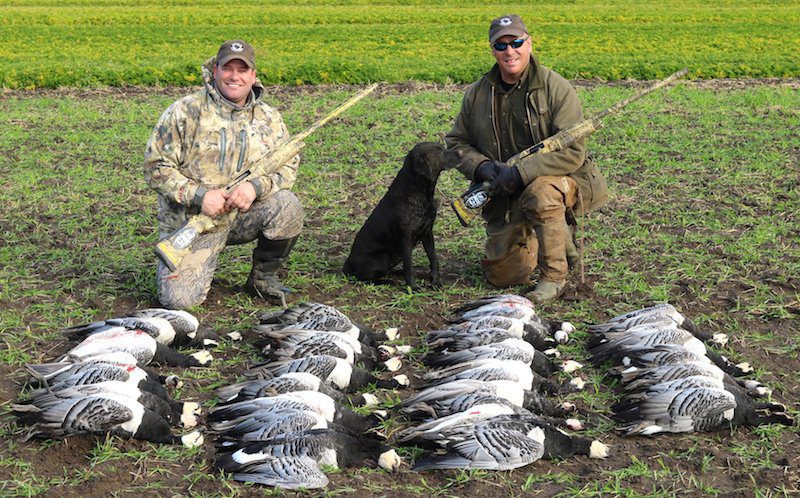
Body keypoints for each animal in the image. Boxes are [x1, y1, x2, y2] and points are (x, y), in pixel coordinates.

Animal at [342, 141, 462, 288]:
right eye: (440, 152)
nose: (462, 153)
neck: (418, 195)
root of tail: (346, 266)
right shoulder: (406, 239)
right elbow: (409, 267)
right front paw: (413, 287)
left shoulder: (428, 233)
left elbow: (434, 259)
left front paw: (435, 281)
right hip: (383, 258)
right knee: (367, 279)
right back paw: (389, 281)